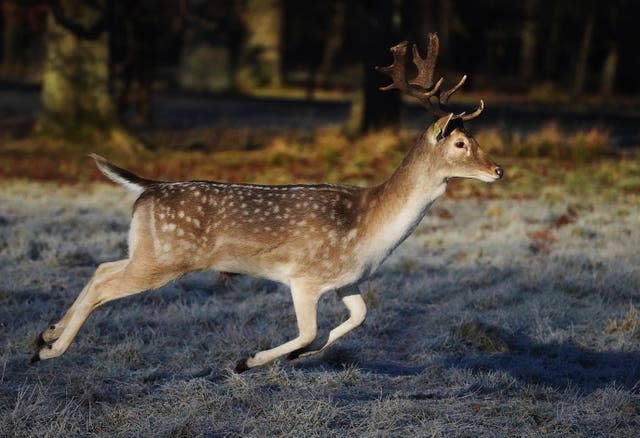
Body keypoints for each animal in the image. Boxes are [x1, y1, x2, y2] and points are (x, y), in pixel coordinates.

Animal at [33, 32, 504, 372]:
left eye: (475, 138)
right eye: (461, 143)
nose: (498, 170)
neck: (369, 231)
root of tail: (146, 187)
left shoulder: (346, 280)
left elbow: (357, 318)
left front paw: (295, 357)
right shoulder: (304, 277)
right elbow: (310, 331)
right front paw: (248, 360)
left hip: (146, 250)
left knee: (102, 267)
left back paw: (46, 334)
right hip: (164, 259)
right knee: (105, 284)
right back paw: (49, 352)